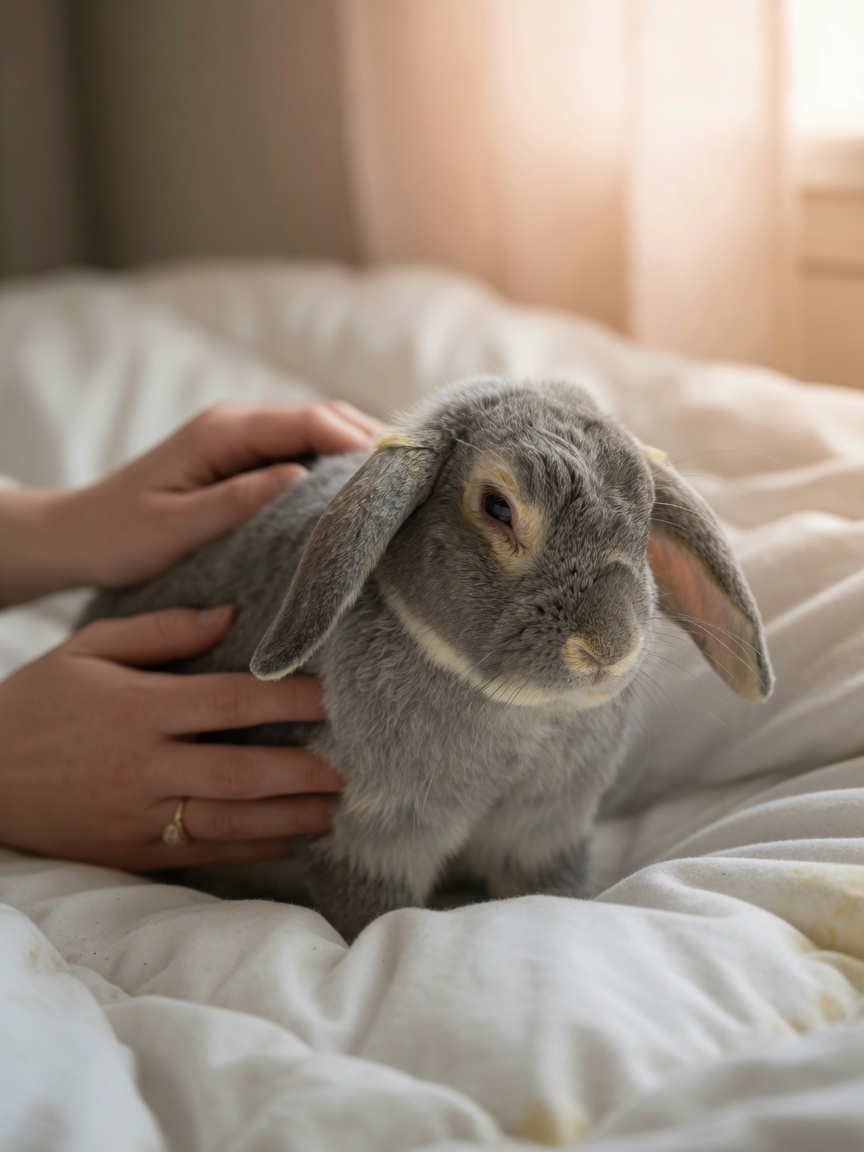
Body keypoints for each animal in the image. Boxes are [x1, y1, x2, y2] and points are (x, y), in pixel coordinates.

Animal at [82, 376, 774, 940]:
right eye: (498, 507)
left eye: (648, 517)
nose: (608, 646)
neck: (515, 713)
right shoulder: (370, 839)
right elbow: (377, 917)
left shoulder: (544, 834)